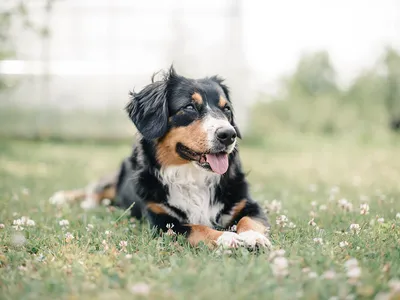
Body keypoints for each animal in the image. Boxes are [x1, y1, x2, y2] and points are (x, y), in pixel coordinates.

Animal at [48, 67, 270, 248]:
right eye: (189, 107)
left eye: (227, 109)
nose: (228, 134)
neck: (192, 177)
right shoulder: (162, 221)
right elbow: (197, 228)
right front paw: (226, 238)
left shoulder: (247, 203)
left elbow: (249, 220)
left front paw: (253, 237)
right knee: (97, 190)